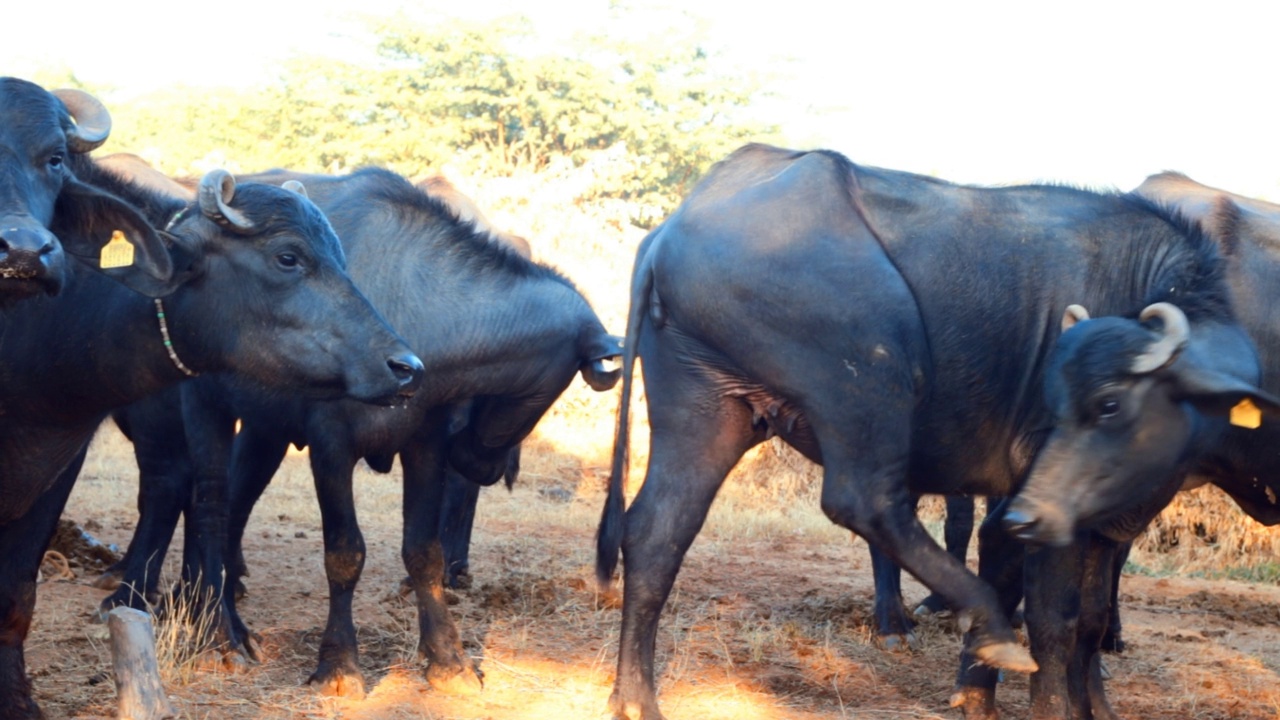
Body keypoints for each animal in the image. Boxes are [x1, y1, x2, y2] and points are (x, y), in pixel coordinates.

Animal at [97, 166, 616, 696]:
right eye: (558, 381)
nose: (481, 464)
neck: (420, 308)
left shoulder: (425, 443)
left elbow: (424, 553)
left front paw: (448, 658)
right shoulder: (331, 446)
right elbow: (344, 554)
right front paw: (340, 663)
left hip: (265, 430)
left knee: (235, 505)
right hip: (206, 409)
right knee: (208, 509)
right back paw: (218, 629)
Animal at [591, 142, 1269, 712]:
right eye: (1102, 403)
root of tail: (672, 230)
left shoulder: (1105, 519)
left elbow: (1092, 621)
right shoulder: (1043, 503)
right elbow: (1056, 622)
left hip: (706, 407)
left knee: (656, 532)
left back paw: (635, 698)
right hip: (875, 364)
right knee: (865, 501)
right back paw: (980, 624)